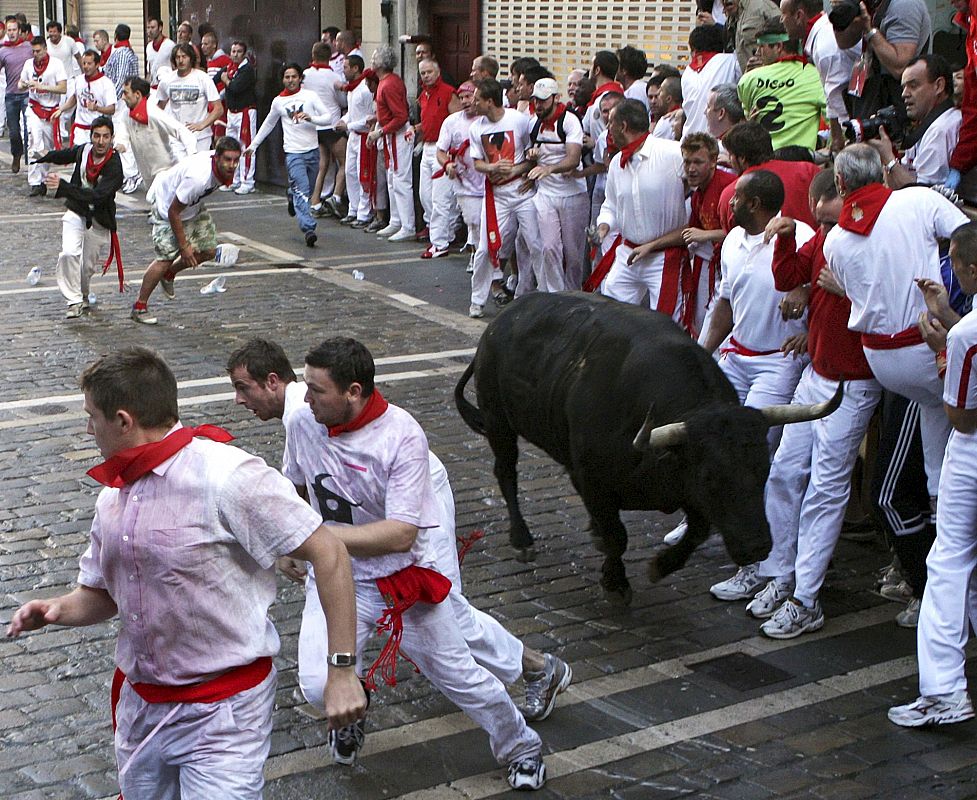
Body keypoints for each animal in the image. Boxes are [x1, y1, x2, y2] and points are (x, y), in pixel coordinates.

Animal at [450, 296, 840, 608]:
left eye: (764, 469)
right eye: (710, 477)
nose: (757, 546)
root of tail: (501, 322)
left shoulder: (685, 488)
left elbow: (698, 531)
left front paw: (660, 565)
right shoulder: (590, 479)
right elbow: (617, 536)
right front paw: (615, 583)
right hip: (499, 423)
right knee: (506, 473)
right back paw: (521, 539)